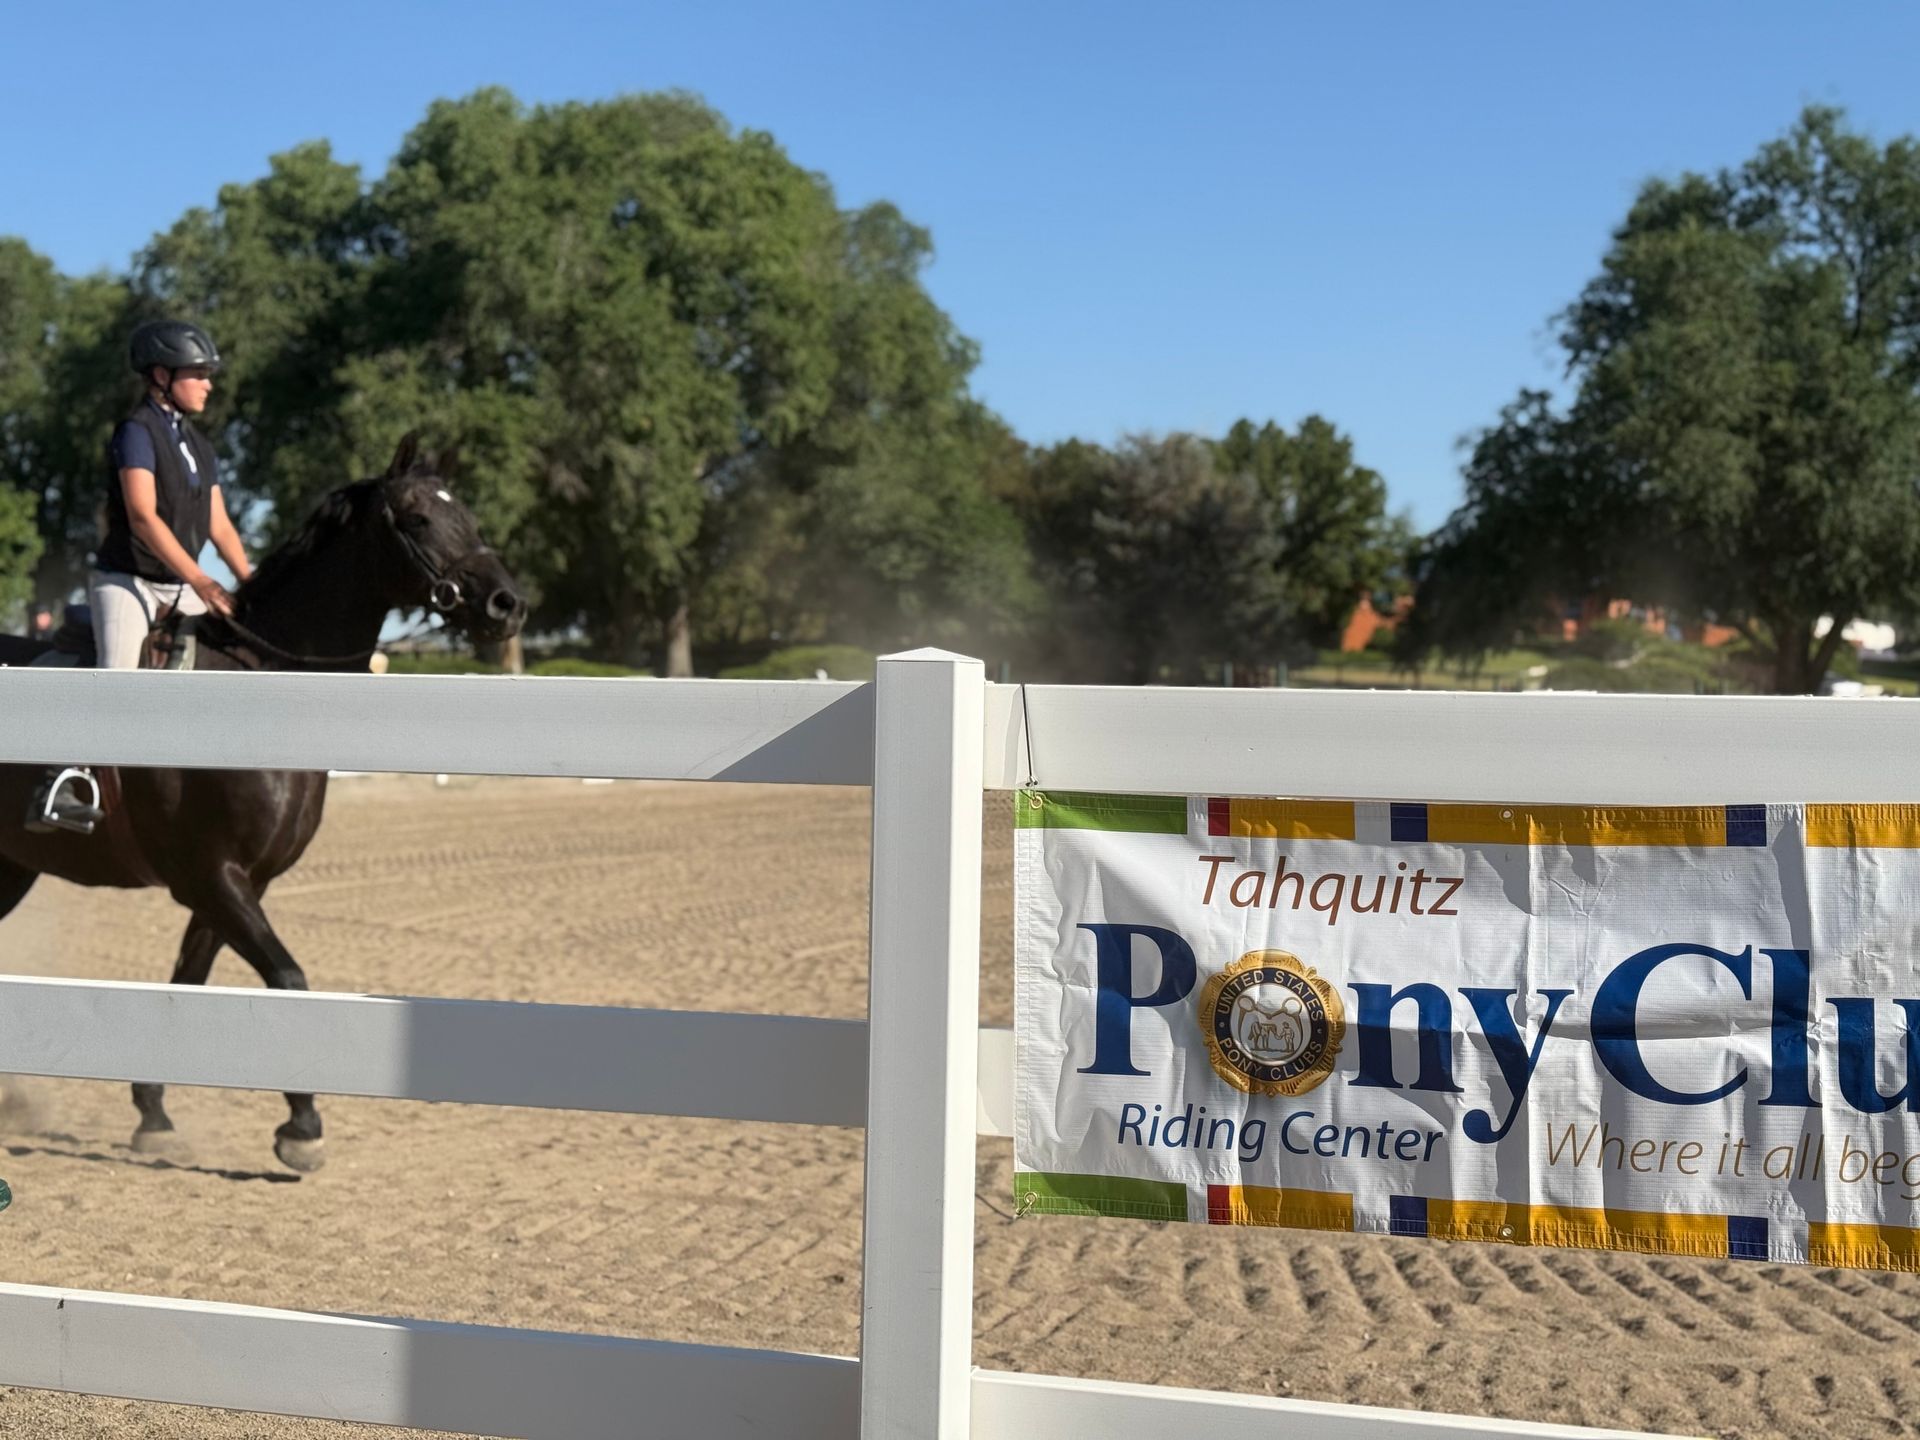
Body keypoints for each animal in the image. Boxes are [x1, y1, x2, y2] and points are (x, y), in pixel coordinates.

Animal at [0, 434, 525, 1172]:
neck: (262, 690)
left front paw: (153, 1113)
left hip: (11, 867)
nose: (507, 604)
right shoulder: (213, 877)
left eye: (469, 514)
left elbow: (187, 982)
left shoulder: (238, 883)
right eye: (418, 518)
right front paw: (302, 1127)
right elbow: (289, 978)